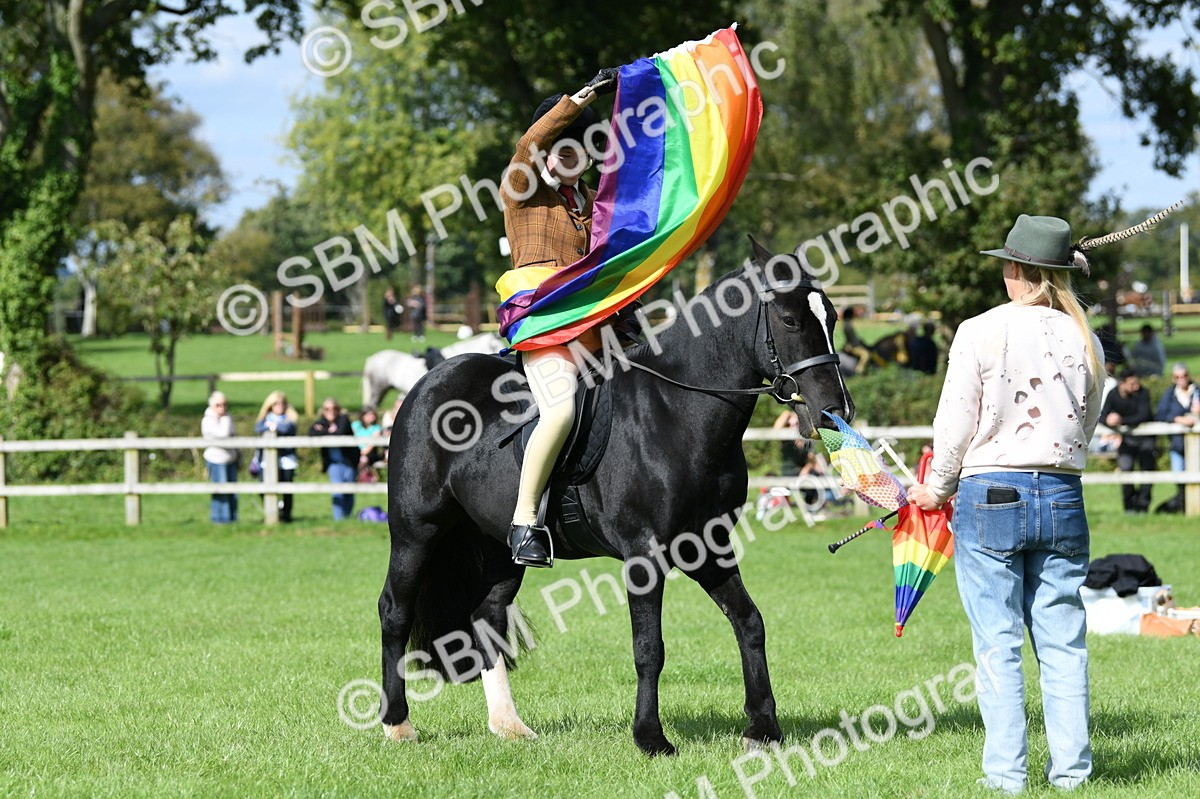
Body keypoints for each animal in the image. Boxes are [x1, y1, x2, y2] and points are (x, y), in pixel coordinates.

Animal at [378, 238, 855, 755]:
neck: (677, 413)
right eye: (789, 321)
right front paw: (651, 738)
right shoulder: (644, 554)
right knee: (395, 611)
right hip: (416, 533)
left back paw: (510, 725)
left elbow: (750, 622)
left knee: (487, 618)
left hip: (500, 548)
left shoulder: (708, 548)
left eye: (831, 316)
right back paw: (397, 723)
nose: (834, 411)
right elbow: (649, 648)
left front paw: (763, 728)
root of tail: (429, 381)